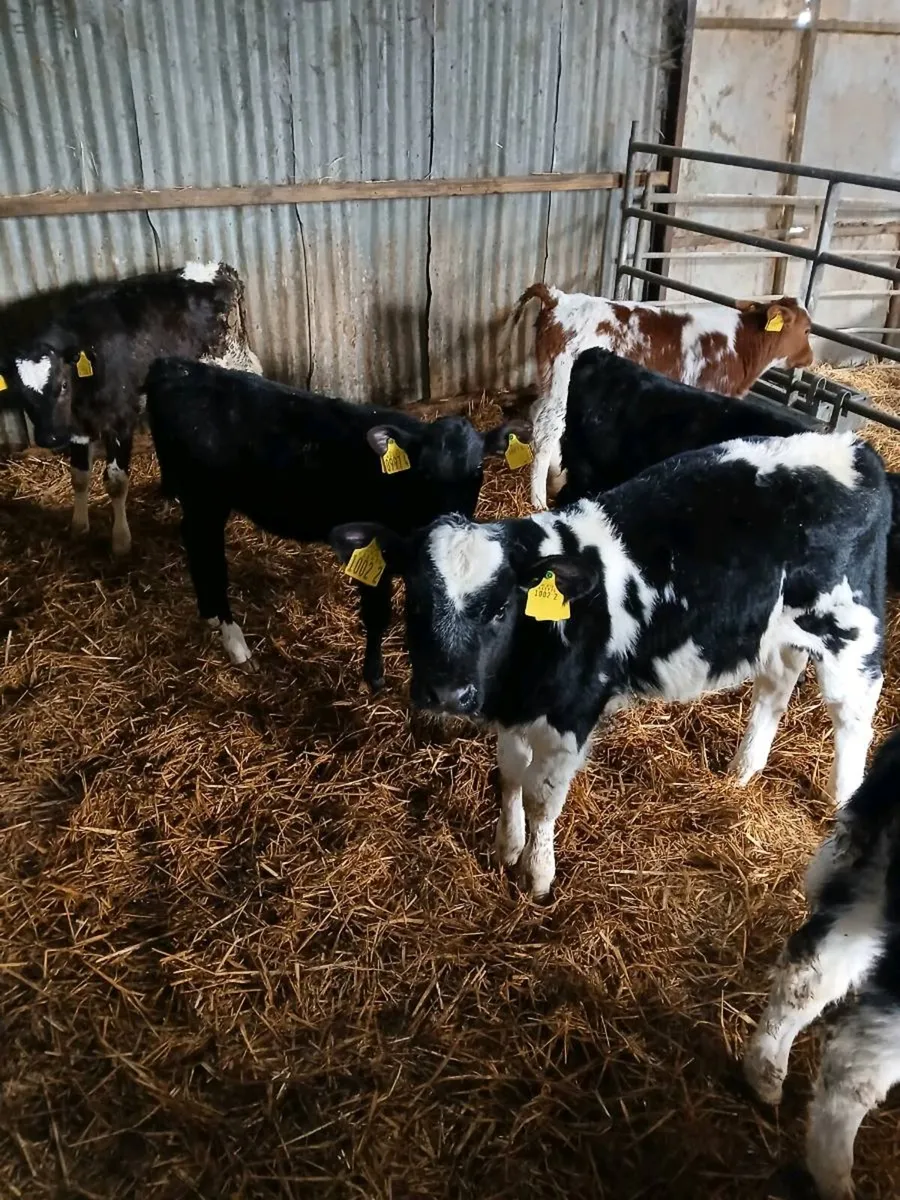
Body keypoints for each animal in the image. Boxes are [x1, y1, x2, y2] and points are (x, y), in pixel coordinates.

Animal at [1, 262, 262, 555]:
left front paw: (121, 540)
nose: (50, 437)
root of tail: (220, 269)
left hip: (233, 360)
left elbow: (115, 481)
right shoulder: (78, 427)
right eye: (20, 393)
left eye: (63, 385)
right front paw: (79, 526)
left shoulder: (120, 418)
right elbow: (78, 475)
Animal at [144, 357, 529, 689]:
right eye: (424, 472)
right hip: (207, 500)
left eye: (478, 470)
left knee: (193, 543)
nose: (450, 525)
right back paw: (235, 642)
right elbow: (377, 614)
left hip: (198, 502)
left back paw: (209, 614)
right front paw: (374, 676)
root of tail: (174, 365)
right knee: (209, 557)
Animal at [330, 430, 887, 899]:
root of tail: (854, 446)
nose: (447, 693)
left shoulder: (571, 717)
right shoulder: (515, 711)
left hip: (850, 629)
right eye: (415, 599)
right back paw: (742, 771)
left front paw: (537, 876)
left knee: (853, 713)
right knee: (776, 686)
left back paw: (842, 801)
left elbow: (541, 797)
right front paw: (506, 848)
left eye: (500, 607)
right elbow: (509, 776)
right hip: (781, 631)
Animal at [508, 282, 815, 508]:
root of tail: (559, 298)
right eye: (808, 329)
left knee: (538, 414)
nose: (810, 358)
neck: (739, 344)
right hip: (561, 385)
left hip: (549, 381)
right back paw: (538, 499)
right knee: (547, 430)